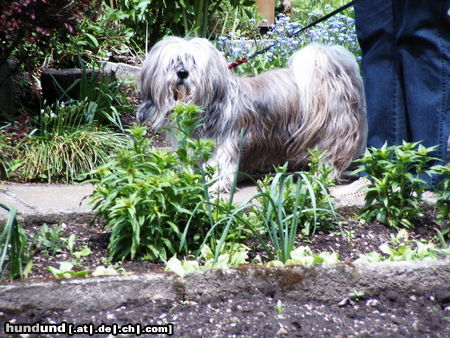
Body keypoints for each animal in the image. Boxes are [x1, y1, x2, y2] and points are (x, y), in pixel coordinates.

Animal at [136, 37, 366, 191]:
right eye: (172, 62)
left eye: (194, 62)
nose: (182, 73)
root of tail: (336, 75)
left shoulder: (225, 143)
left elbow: (220, 165)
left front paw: (215, 185)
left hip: (333, 132)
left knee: (331, 157)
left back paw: (321, 175)